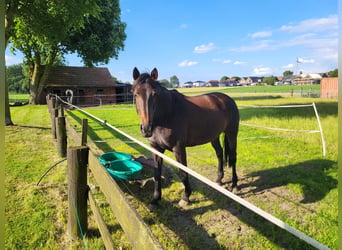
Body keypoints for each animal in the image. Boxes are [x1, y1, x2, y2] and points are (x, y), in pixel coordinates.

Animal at [132, 67, 239, 207]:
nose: (146, 129)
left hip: (232, 134)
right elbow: (156, 172)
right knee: (220, 153)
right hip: (214, 136)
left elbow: (183, 172)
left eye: (155, 94)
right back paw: (218, 179)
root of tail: (228, 99)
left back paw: (235, 185)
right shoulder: (156, 149)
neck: (167, 114)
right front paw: (155, 200)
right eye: (135, 94)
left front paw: (186, 197)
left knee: (233, 156)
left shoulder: (178, 148)